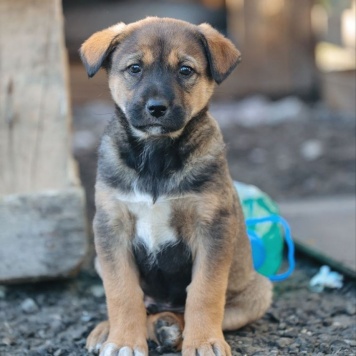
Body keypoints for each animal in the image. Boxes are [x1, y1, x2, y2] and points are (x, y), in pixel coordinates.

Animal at [79, 16, 272, 356]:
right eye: (134, 68)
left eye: (185, 70)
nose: (157, 108)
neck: (156, 157)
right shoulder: (110, 225)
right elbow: (121, 291)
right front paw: (123, 340)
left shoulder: (212, 225)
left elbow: (205, 291)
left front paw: (205, 342)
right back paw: (110, 329)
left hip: (260, 290)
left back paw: (170, 328)